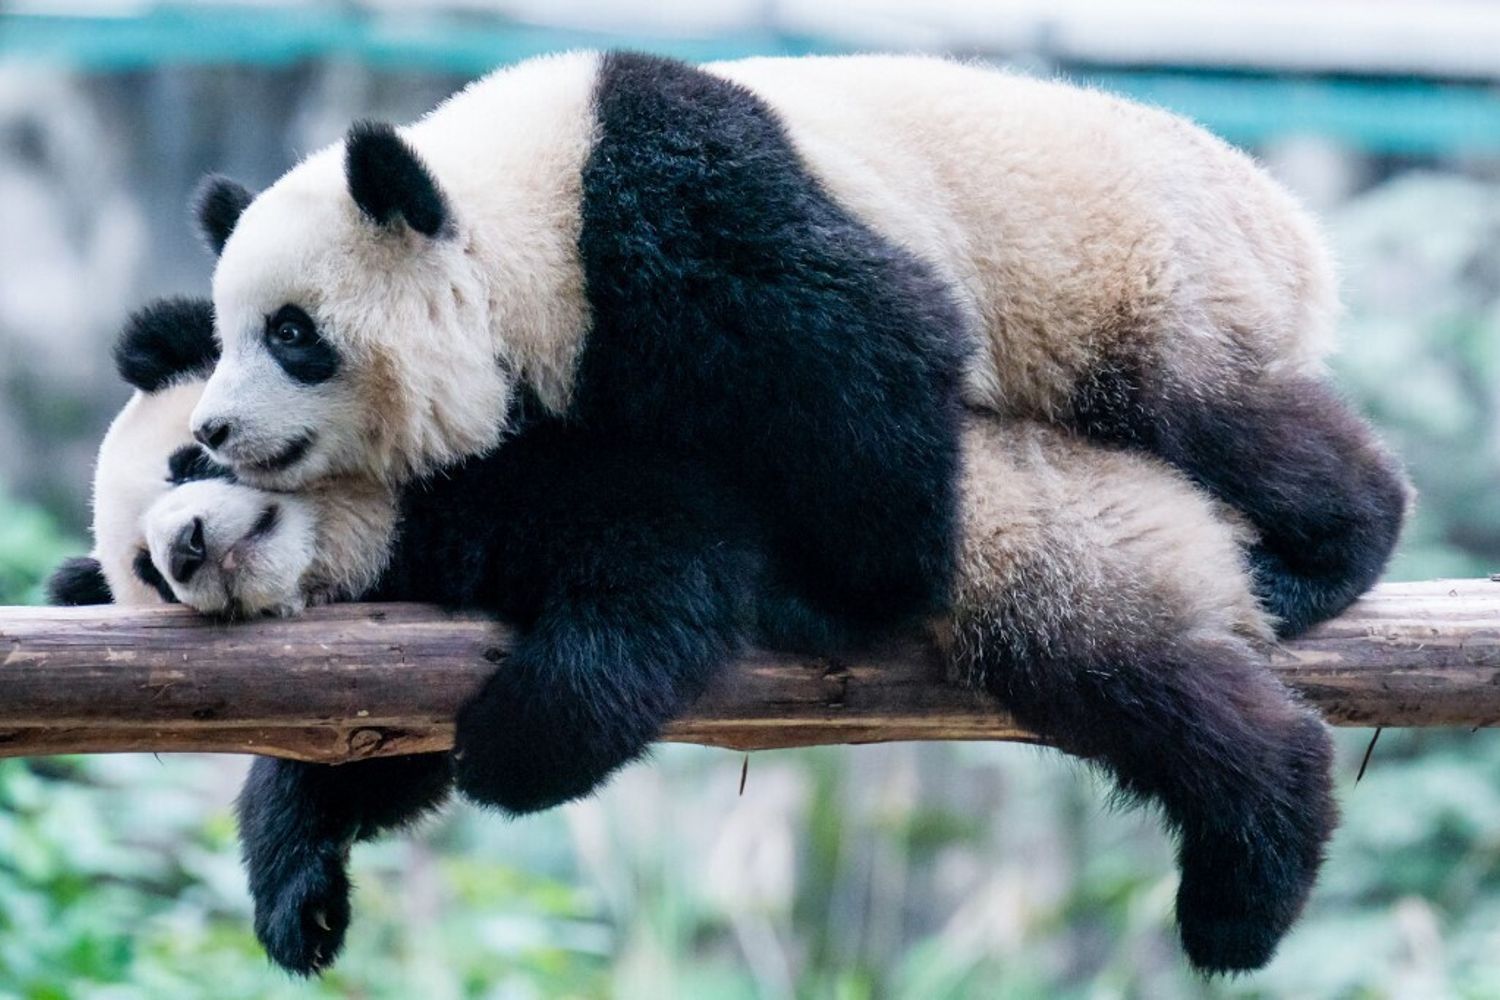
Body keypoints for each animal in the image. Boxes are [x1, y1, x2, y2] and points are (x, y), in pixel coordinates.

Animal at [55, 297, 1336, 976]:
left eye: (191, 456)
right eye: (142, 578)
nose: (183, 548)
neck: (377, 520)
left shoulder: (543, 452)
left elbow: (667, 564)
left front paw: (514, 749)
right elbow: (371, 750)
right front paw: (302, 900)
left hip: (1053, 543)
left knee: (1155, 697)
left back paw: (1248, 882)